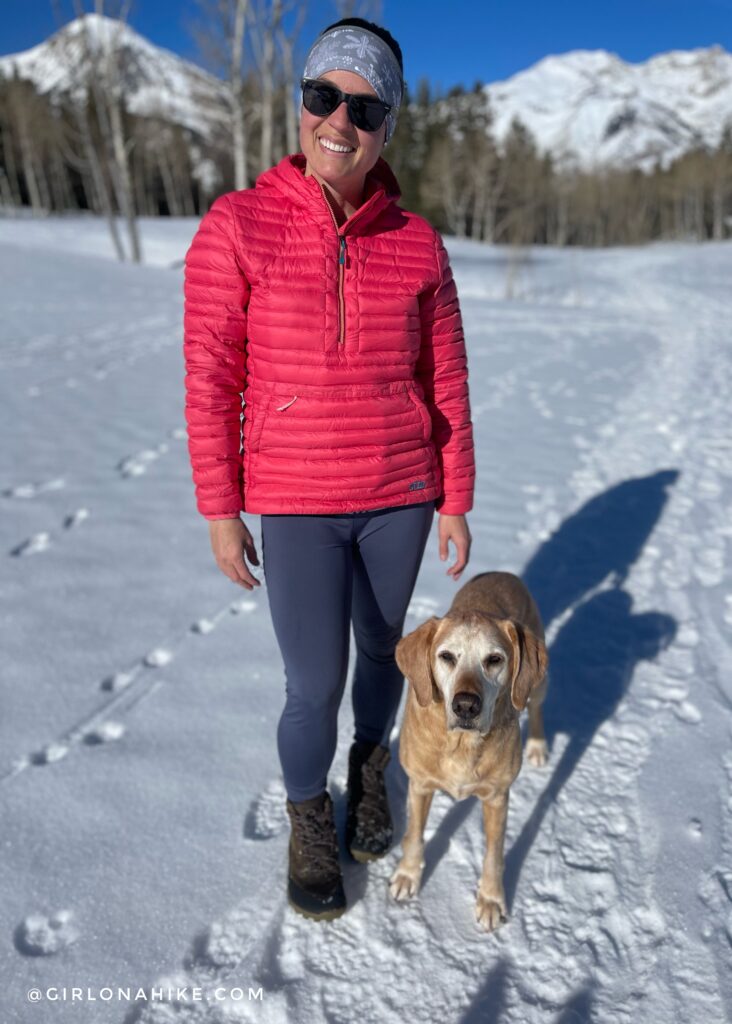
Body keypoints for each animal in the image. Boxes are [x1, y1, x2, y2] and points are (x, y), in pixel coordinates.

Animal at [389, 573, 548, 933]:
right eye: (447, 656)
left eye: (495, 659)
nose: (465, 705)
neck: (461, 744)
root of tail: (504, 574)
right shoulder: (419, 784)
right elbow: (414, 835)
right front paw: (407, 876)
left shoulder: (497, 796)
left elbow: (494, 853)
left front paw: (491, 900)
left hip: (536, 682)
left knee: (534, 705)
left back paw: (538, 746)